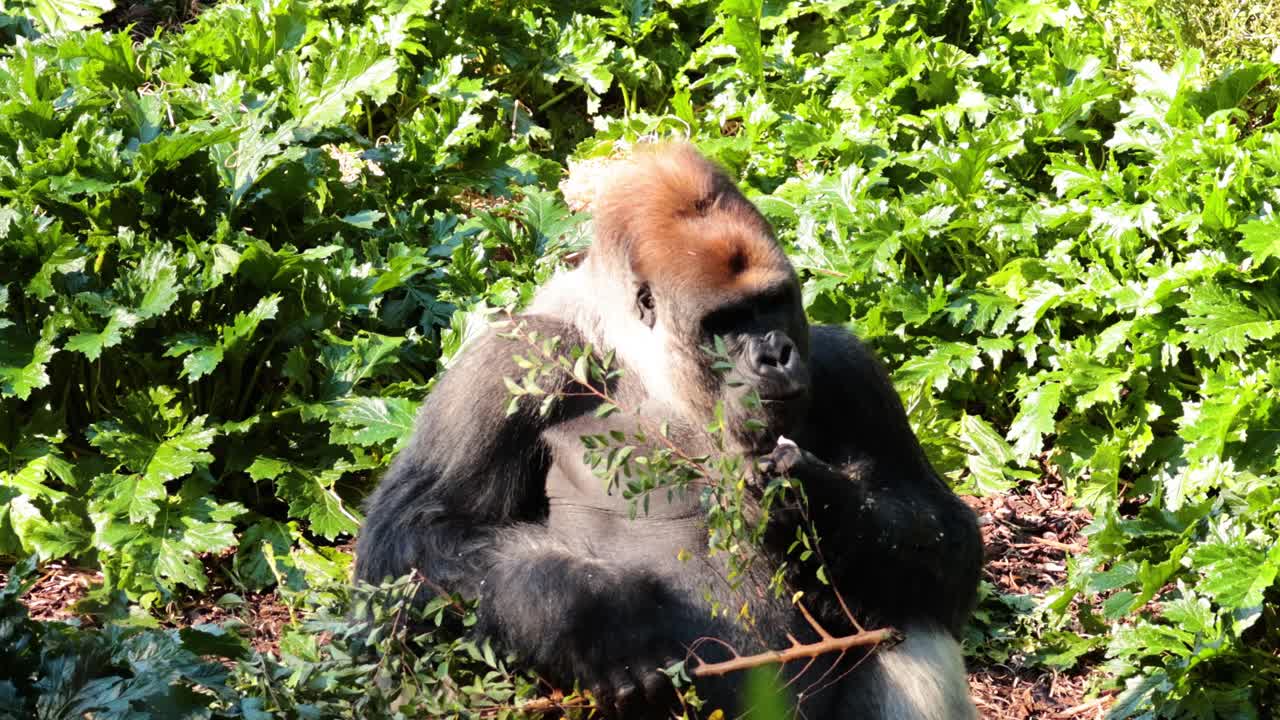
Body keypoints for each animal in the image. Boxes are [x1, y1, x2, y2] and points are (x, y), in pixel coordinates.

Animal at [354, 143, 983, 719]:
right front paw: (596, 619)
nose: (776, 355)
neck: (647, 367)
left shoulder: (851, 369)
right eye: (725, 323)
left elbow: (947, 541)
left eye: (773, 303)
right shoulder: (507, 362)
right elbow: (412, 545)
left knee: (910, 615)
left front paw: (820, 503)